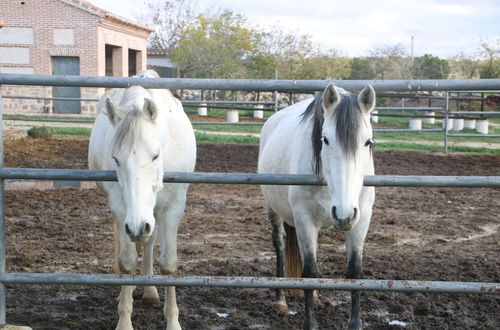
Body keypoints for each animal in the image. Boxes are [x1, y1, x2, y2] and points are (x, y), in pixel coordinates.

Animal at [88, 70, 195, 330]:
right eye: (116, 159)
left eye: (155, 155)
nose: (137, 226)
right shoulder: (121, 208)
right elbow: (127, 261)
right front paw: (124, 320)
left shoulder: (173, 208)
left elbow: (169, 264)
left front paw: (173, 321)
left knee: (149, 241)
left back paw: (150, 291)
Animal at [258, 84, 376, 330]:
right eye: (325, 139)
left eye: (368, 142)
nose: (344, 214)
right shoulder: (305, 219)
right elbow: (310, 271)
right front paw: (310, 323)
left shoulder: (361, 218)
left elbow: (355, 271)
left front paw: (355, 323)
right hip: (274, 210)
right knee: (280, 244)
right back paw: (280, 300)